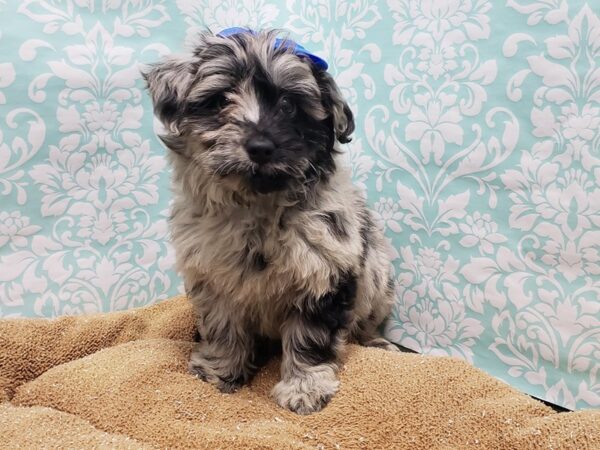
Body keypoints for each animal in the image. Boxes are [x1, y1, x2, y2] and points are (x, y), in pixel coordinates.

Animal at [144, 29, 398, 414]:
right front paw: (219, 371)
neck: (258, 208)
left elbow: (311, 337)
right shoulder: (213, 279)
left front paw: (305, 387)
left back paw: (377, 343)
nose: (261, 146)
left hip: (377, 280)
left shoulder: (323, 272)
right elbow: (222, 327)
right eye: (220, 100)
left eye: (289, 105)